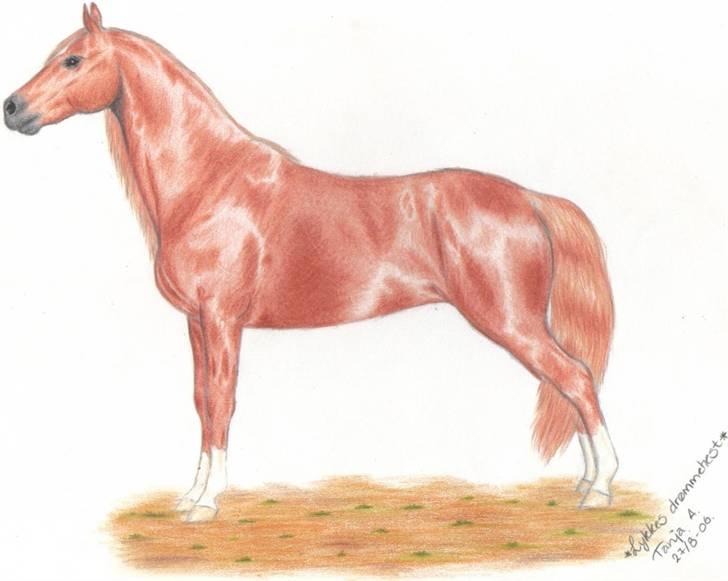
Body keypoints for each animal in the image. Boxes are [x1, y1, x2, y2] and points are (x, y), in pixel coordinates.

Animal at [4, 4, 617, 522]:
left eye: (73, 59)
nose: (12, 109)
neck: (209, 183)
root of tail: (531, 199)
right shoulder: (197, 323)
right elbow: (201, 401)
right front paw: (191, 494)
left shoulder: (222, 320)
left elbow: (222, 403)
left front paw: (208, 502)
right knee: (573, 383)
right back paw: (587, 484)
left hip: (512, 322)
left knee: (576, 379)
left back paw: (601, 487)